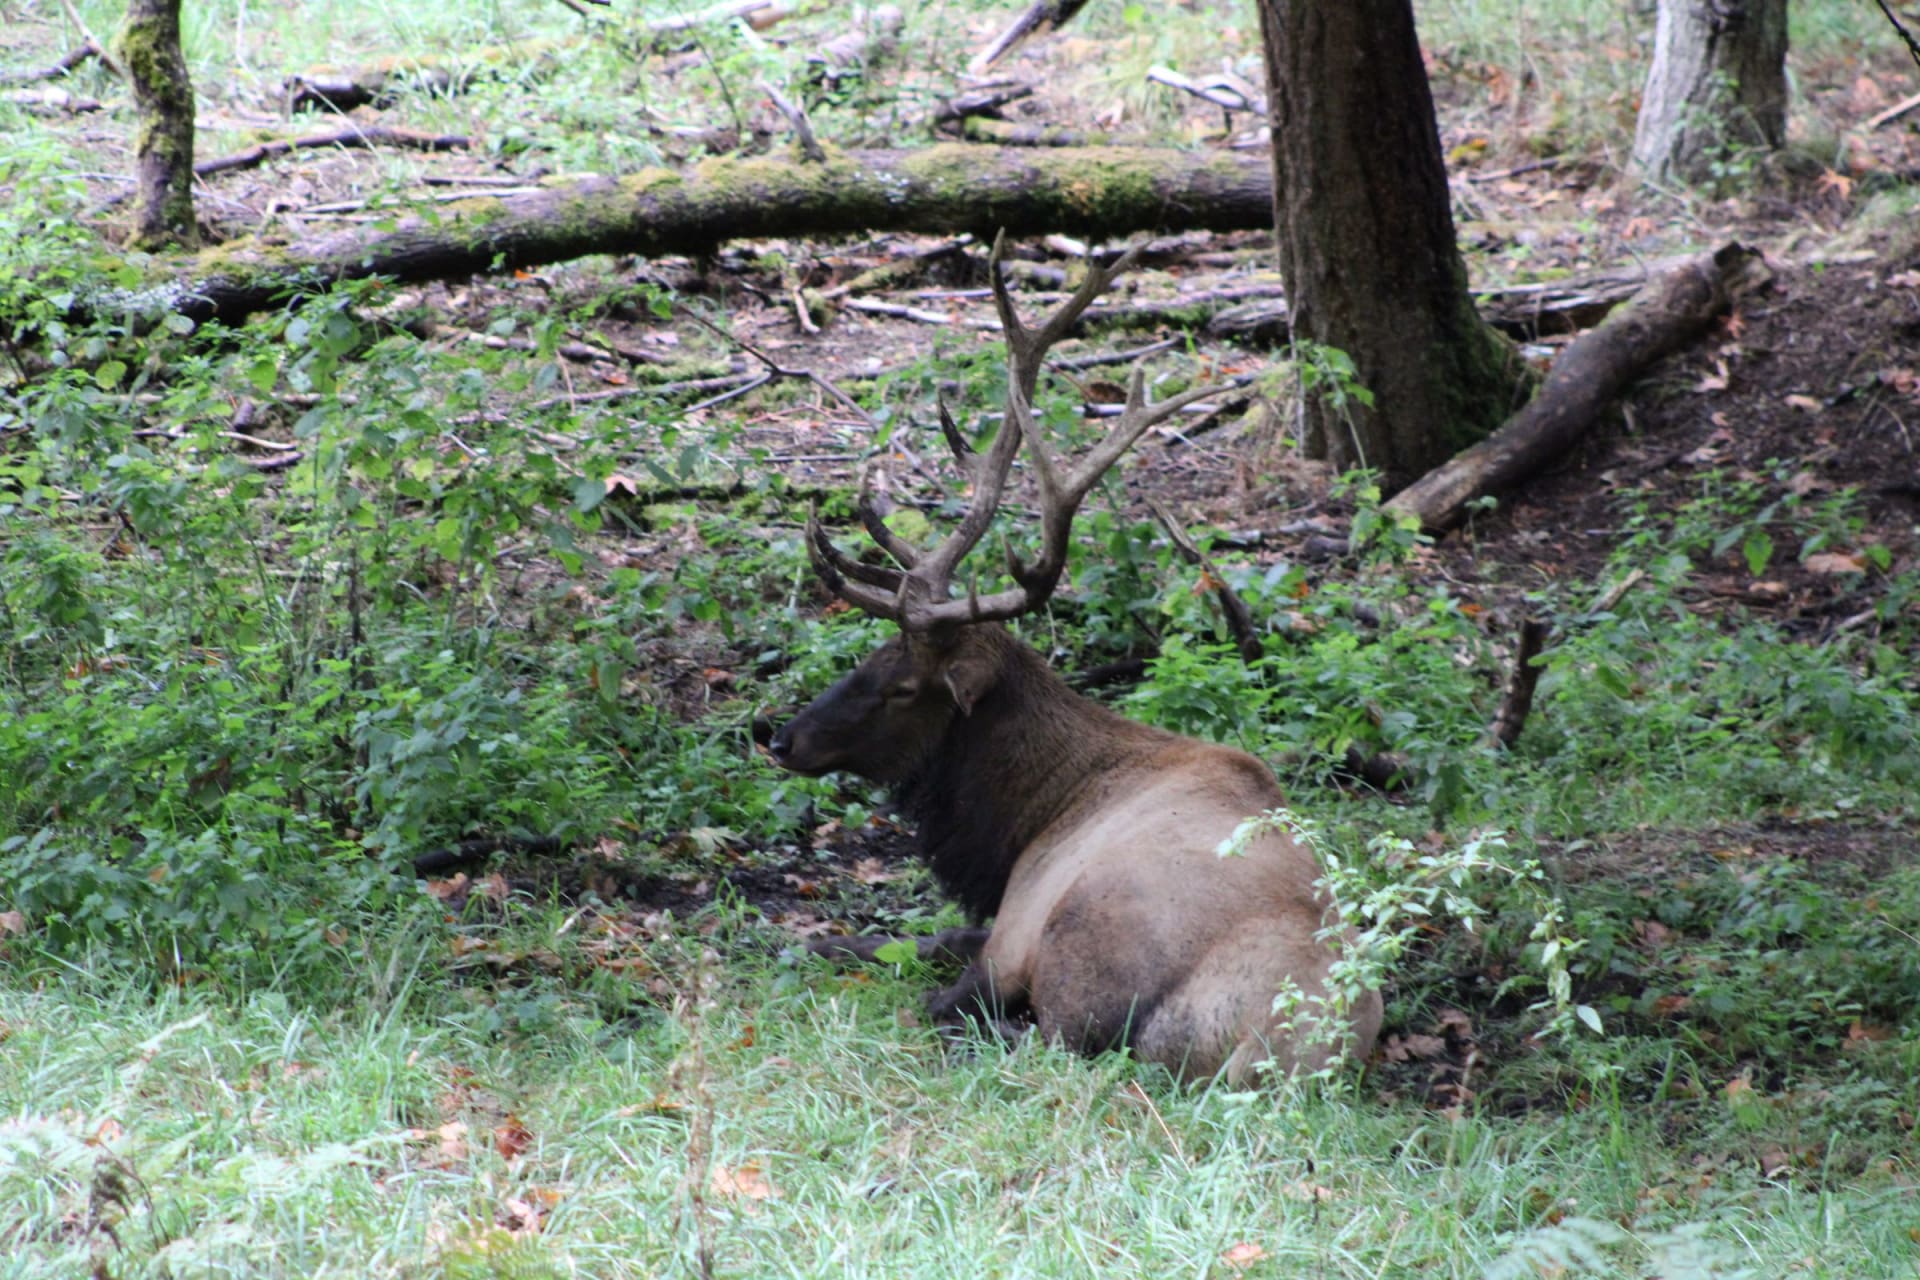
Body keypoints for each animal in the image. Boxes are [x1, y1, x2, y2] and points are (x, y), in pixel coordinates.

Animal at [768, 236, 1383, 1084]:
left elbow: (933, 958)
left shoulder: (1014, 928)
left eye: (903, 685)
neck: (1021, 821)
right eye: (872, 651)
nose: (782, 738)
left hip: (1080, 948)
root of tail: (1274, 1047)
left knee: (1019, 1033)